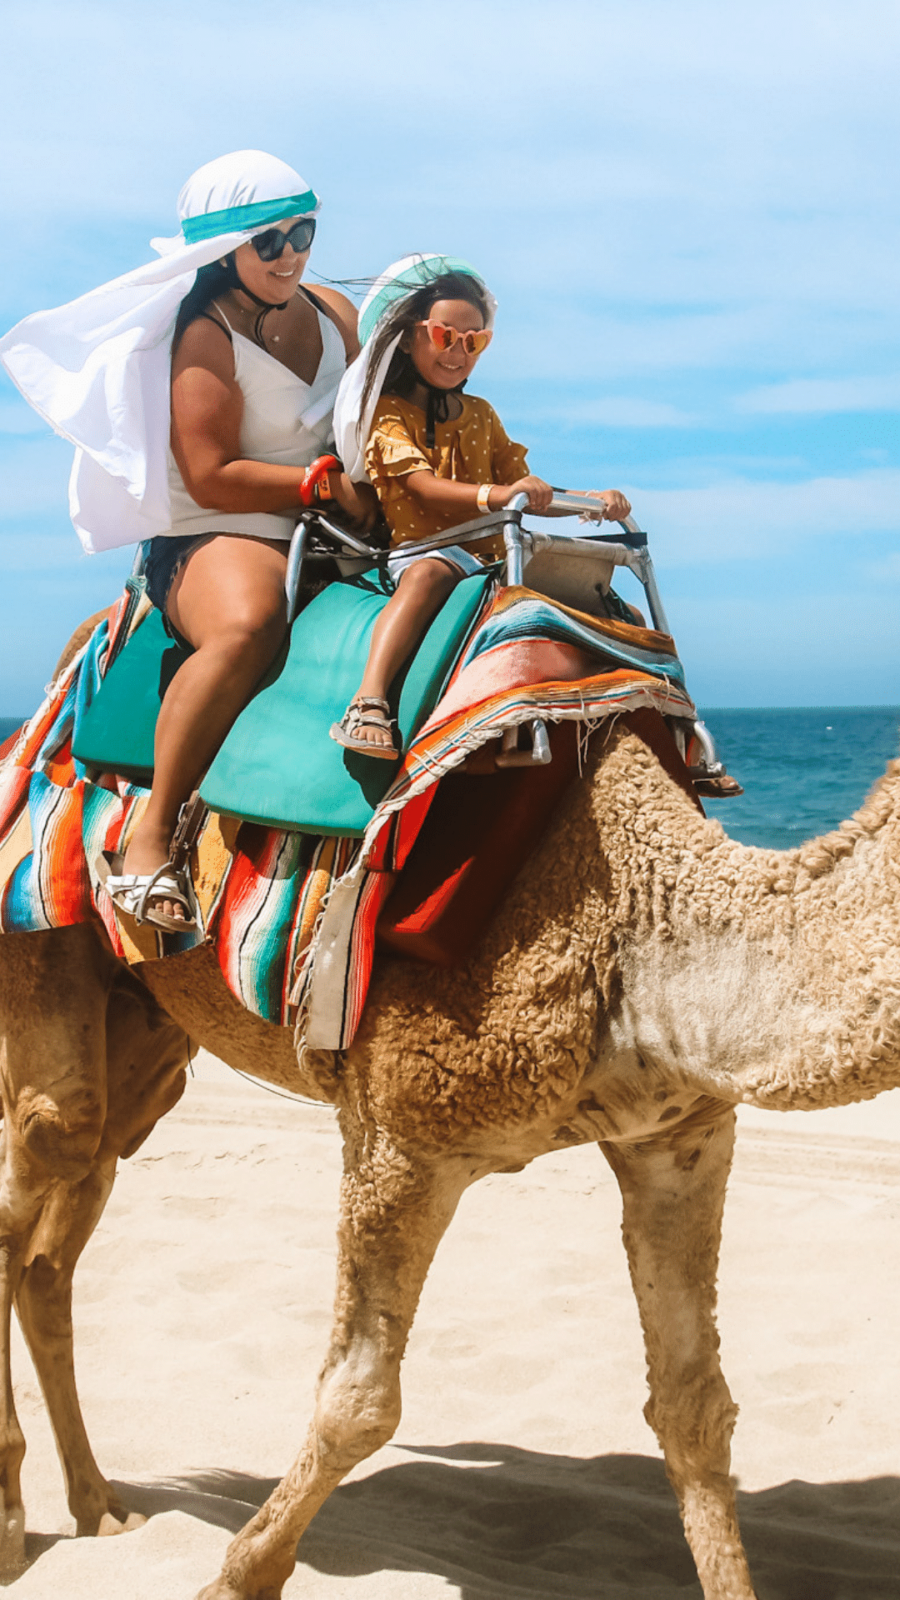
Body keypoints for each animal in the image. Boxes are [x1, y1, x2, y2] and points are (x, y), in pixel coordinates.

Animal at [1, 706, 899, 1600]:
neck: (641, 934)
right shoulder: (402, 1138)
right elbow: (359, 1401)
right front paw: (237, 1578)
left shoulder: (679, 1137)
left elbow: (694, 1406)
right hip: (42, 949)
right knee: (48, 1152)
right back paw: (19, 1533)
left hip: (146, 1031)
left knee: (59, 1237)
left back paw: (101, 1508)